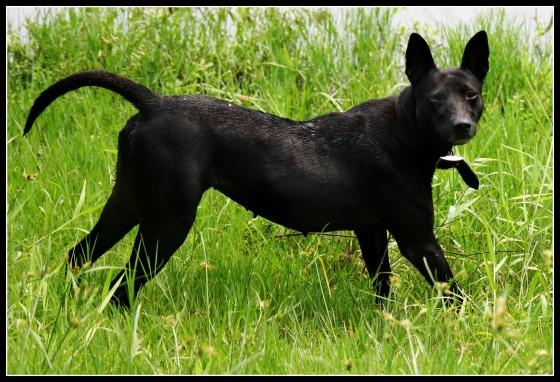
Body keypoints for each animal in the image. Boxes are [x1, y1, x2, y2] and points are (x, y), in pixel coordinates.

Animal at [24, 31, 488, 308]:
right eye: (434, 99)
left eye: (471, 94)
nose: (462, 126)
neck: (404, 132)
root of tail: (154, 103)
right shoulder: (418, 240)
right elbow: (455, 294)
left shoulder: (372, 232)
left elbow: (383, 291)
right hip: (166, 224)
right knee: (122, 286)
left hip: (128, 204)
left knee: (78, 255)